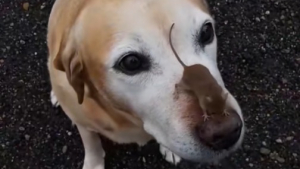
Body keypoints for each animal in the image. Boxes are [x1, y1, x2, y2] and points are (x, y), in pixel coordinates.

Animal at [46, 0, 244, 169]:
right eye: (131, 62)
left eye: (206, 32)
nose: (226, 132)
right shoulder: (83, 124)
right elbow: (92, 145)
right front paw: (93, 164)